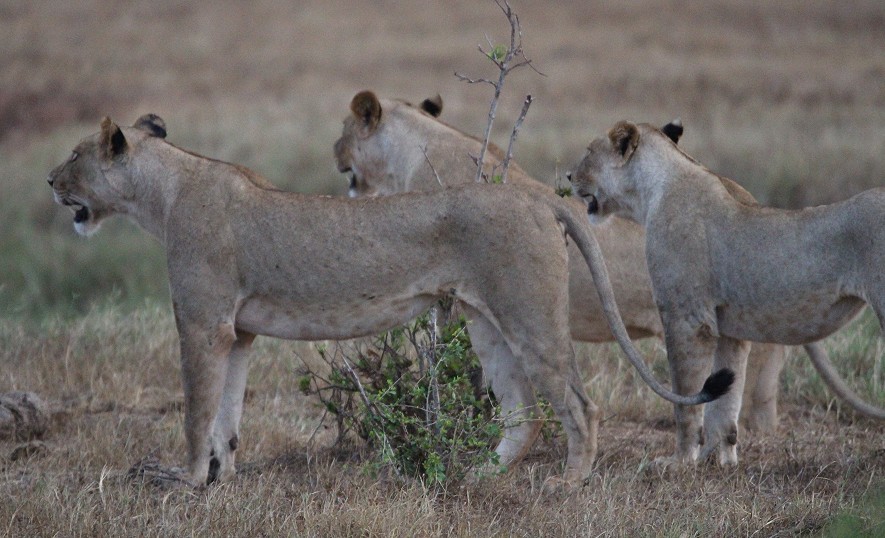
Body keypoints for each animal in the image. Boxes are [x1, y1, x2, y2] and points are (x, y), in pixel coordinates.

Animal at [45, 115, 728, 484]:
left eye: (75, 155)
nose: (49, 181)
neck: (161, 197)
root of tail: (537, 197)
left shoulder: (202, 323)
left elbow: (195, 411)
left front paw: (185, 483)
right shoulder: (236, 332)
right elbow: (226, 417)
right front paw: (220, 479)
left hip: (530, 316)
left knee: (581, 407)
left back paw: (567, 484)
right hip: (486, 323)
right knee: (522, 411)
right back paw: (479, 476)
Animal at [334, 90, 788, 442]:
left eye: (343, 128)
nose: (333, 151)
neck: (416, 148)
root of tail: (744, 197)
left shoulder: (448, 291)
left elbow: (446, 361)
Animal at [568, 119, 884, 462]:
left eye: (589, 151)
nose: (569, 176)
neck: (654, 191)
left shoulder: (687, 319)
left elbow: (686, 399)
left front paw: (680, 462)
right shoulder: (729, 331)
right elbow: (724, 405)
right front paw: (718, 461)